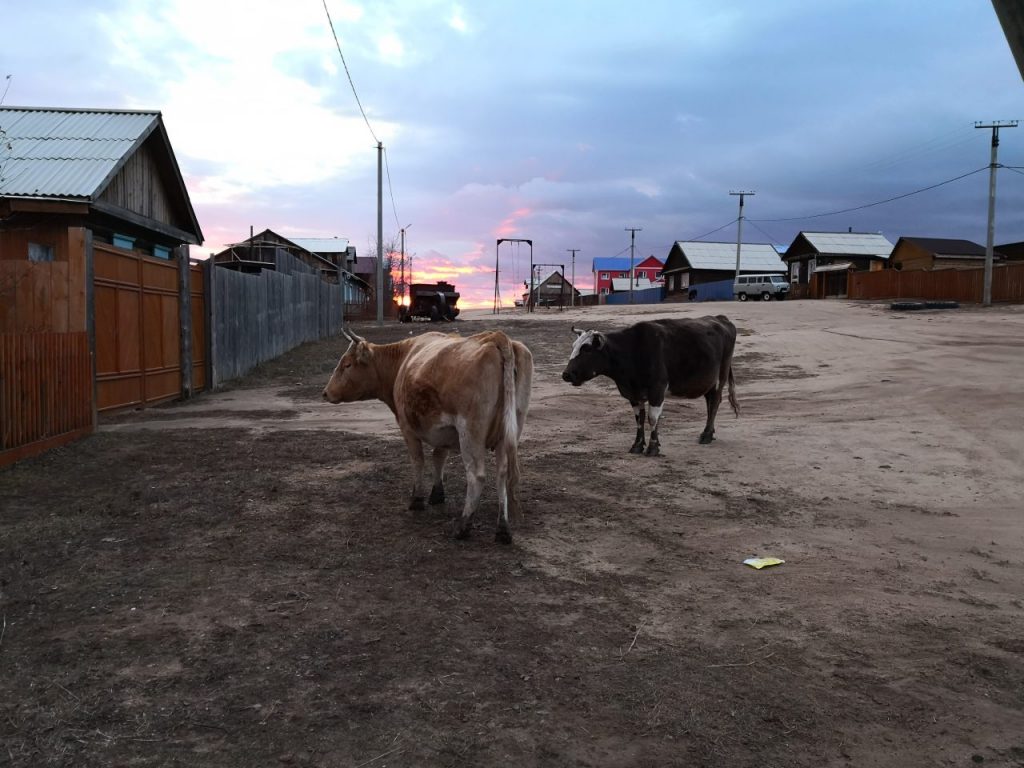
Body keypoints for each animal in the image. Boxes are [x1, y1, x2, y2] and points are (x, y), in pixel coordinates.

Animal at [323, 328, 533, 543]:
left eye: (347, 364)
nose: (325, 393)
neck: (403, 359)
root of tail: (495, 337)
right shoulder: (445, 432)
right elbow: (439, 457)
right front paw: (437, 494)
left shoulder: (407, 427)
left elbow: (418, 461)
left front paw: (417, 499)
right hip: (510, 430)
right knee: (502, 475)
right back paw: (503, 529)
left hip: (470, 431)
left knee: (477, 476)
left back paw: (463, 526)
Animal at [561, 316, 739, 456]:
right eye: (574, 347)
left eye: (587, 349)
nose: (566, 374)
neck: (632, 351)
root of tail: (720, 318)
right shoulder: (634, 394)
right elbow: (639, 419)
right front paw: (637, 445)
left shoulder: (657, 390)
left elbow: (652, 418)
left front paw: (653, 447)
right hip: (709, 382)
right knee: (710, 402)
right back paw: (710, 432)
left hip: (720, 378)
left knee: (714, 403)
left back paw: (706, 435)